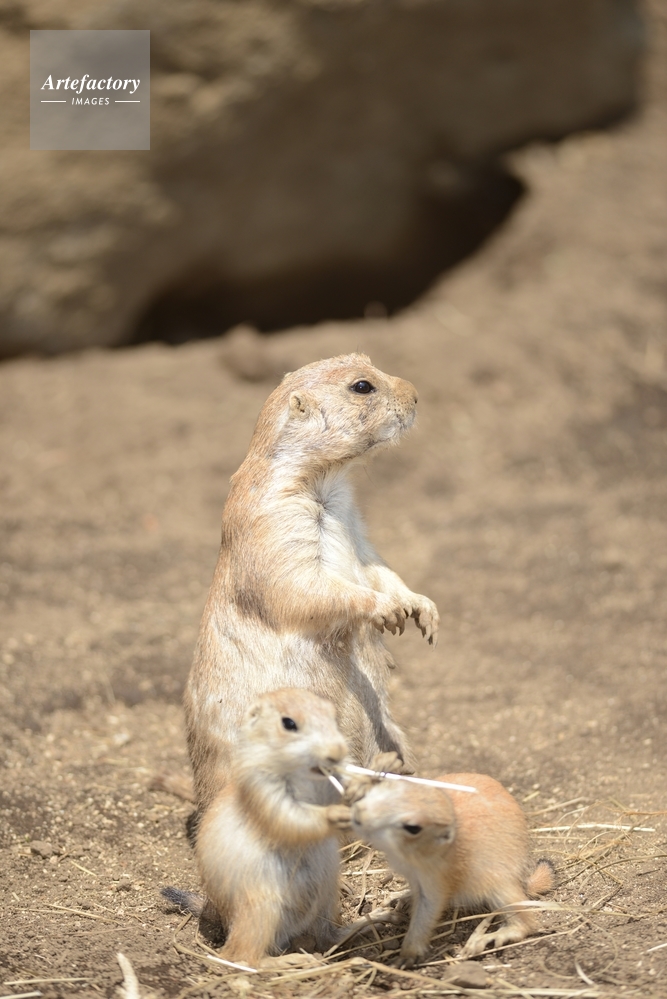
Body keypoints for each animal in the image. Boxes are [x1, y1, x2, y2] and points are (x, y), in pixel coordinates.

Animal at [166, 688, 353, 966]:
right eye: (288, 723)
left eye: (332, 715)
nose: (337, 751)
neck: (304, 775)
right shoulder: (262, 790)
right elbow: (293, 818)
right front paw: (338, 814)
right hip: (261, 911)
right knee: (242, 957)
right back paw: (293, 961)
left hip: (327, 899)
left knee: (329, 935)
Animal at [184, 353, 439, 812]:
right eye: (362, 386)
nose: (415, 394)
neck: (328, 480)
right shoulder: (273, 525)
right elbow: (304, 585)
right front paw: (388, 610)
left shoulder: (356, 525)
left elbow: (377, 566)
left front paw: (422, 609)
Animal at [350, 771, 555, 966]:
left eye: (413, 828)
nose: (358, 814)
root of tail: (523, 880)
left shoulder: (436, 879)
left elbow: (427, 911)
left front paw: (406, 956)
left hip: (502, 888)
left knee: (526, 922)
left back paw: (487, 938)